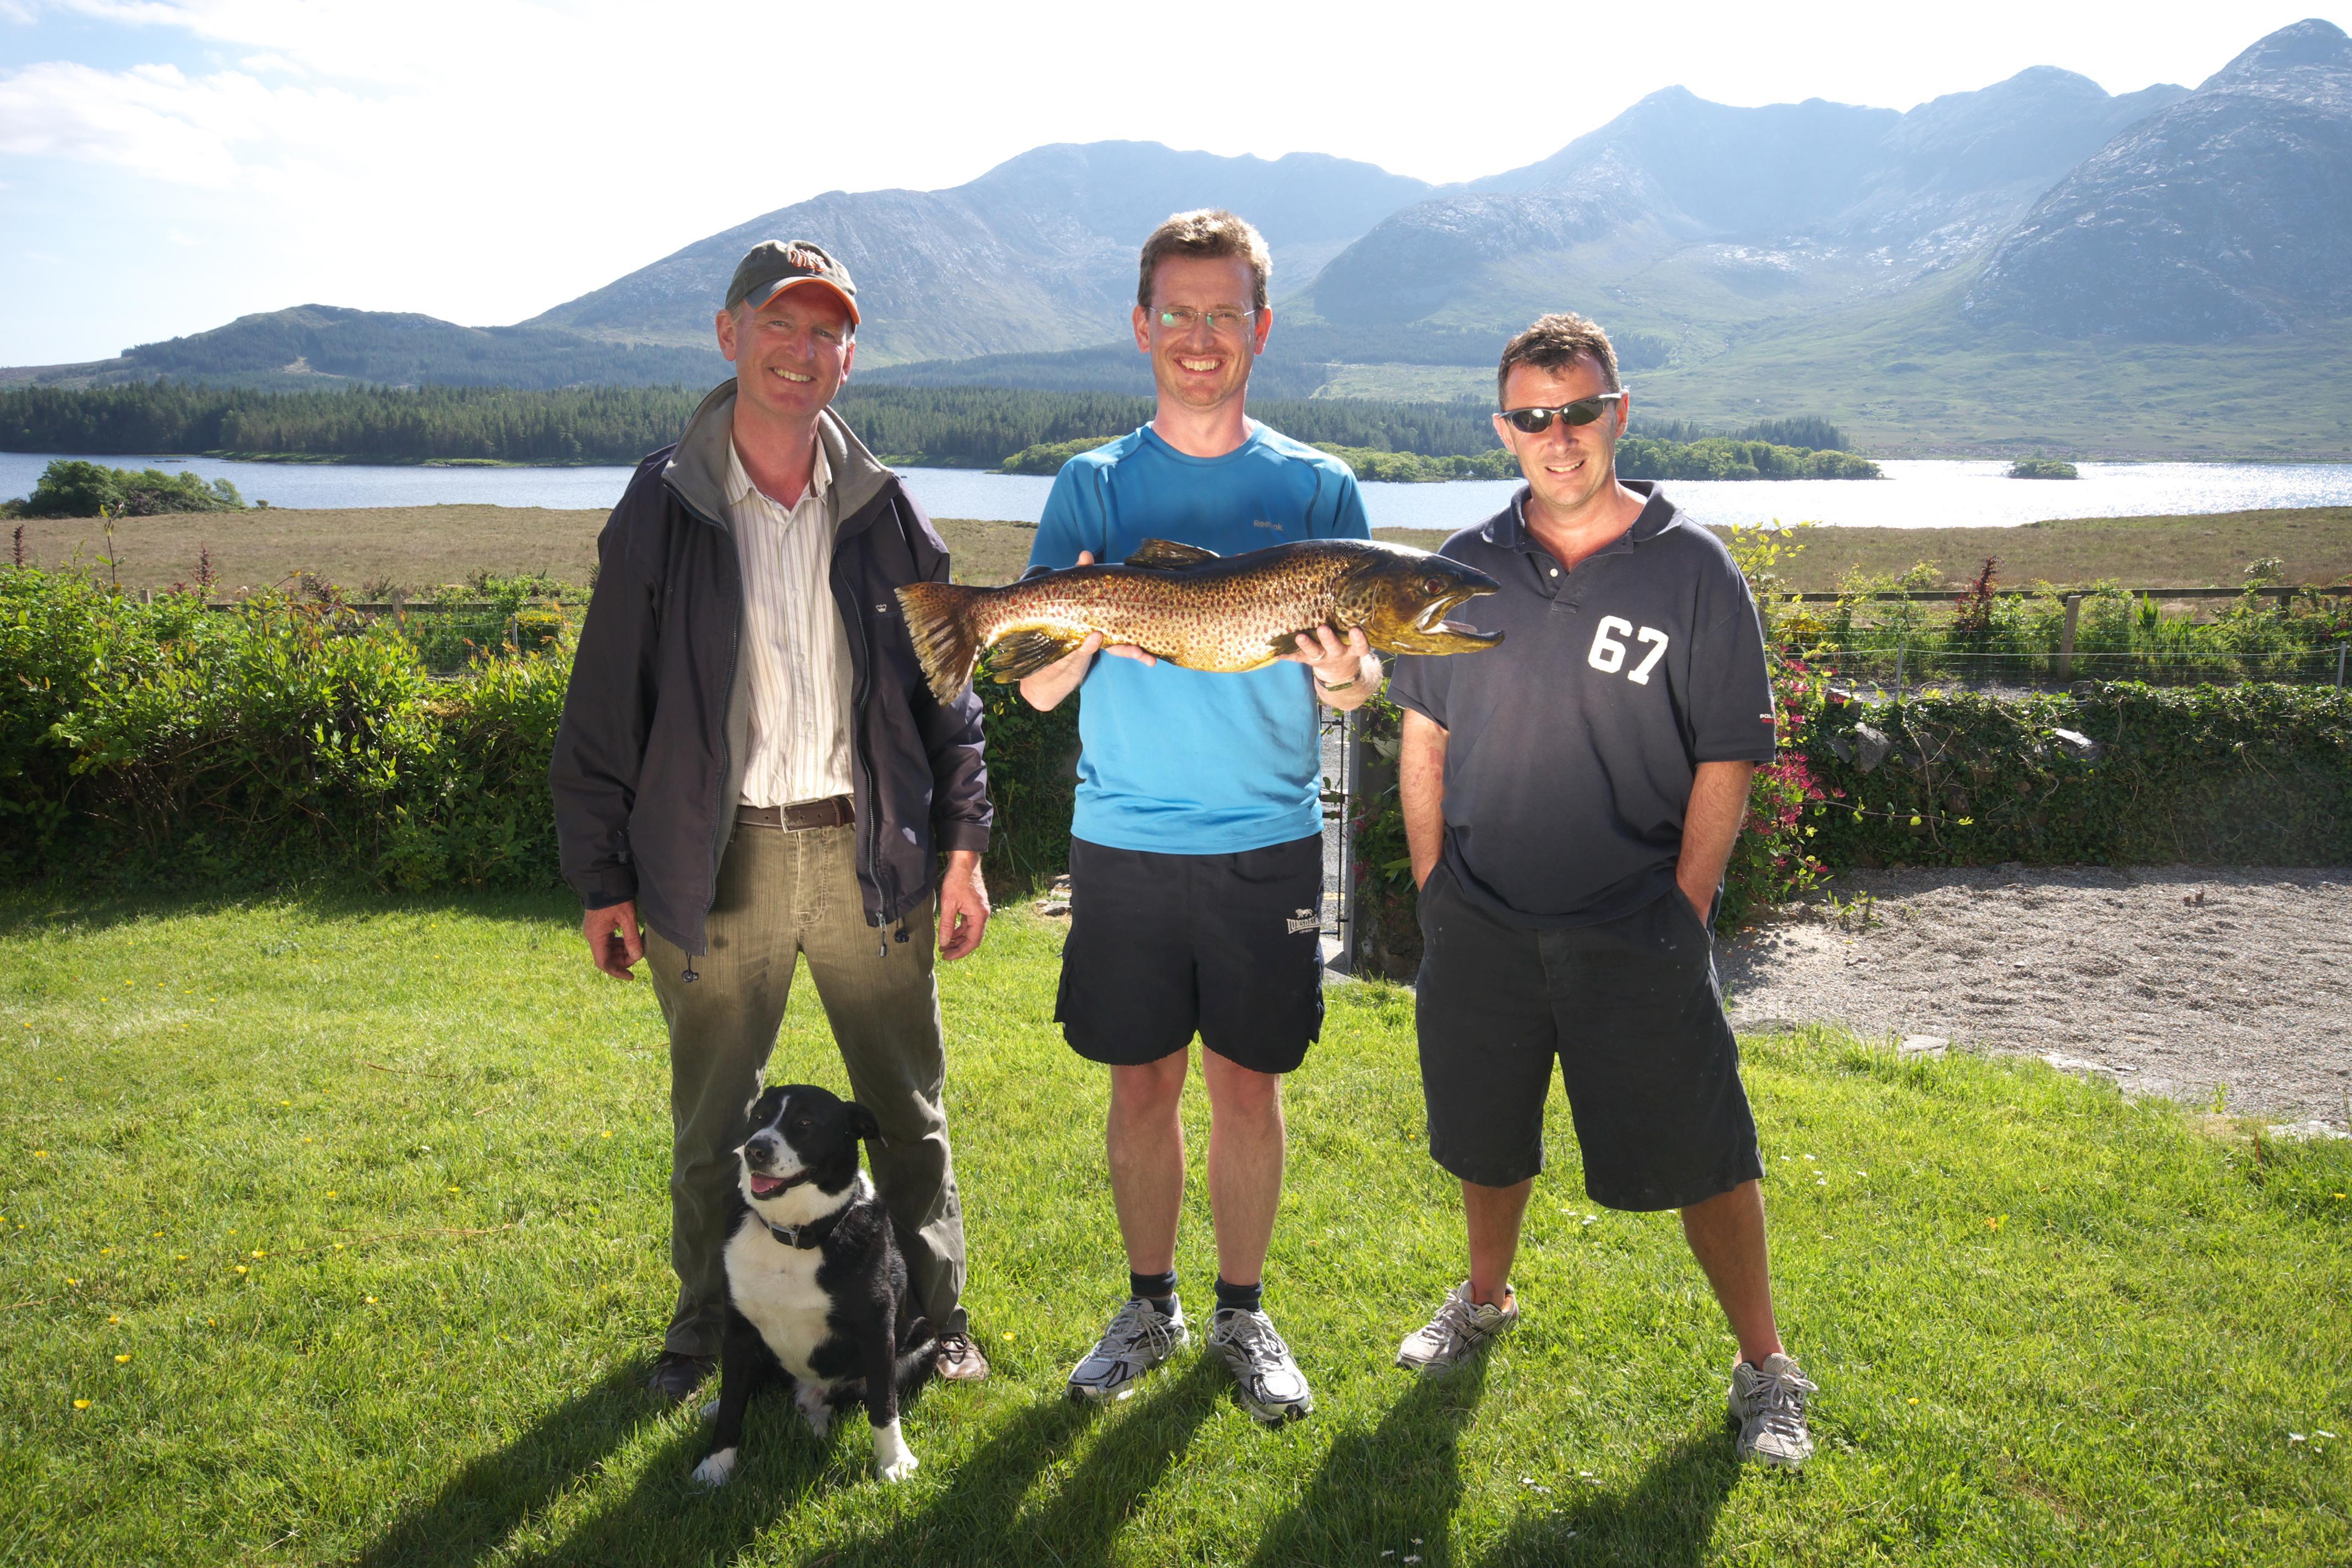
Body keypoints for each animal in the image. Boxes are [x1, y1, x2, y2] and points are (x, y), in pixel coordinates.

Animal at [687, 1086, 936, 1495]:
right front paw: (715, 1466)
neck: (794, 1234)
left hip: (926, 1341)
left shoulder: (876, 1330)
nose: (755, 1150)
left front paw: (894, 1462)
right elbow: (732, 1405)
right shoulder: (739, 1329)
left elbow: (884, 1406)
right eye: (759, 1117)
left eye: (805, 1123)